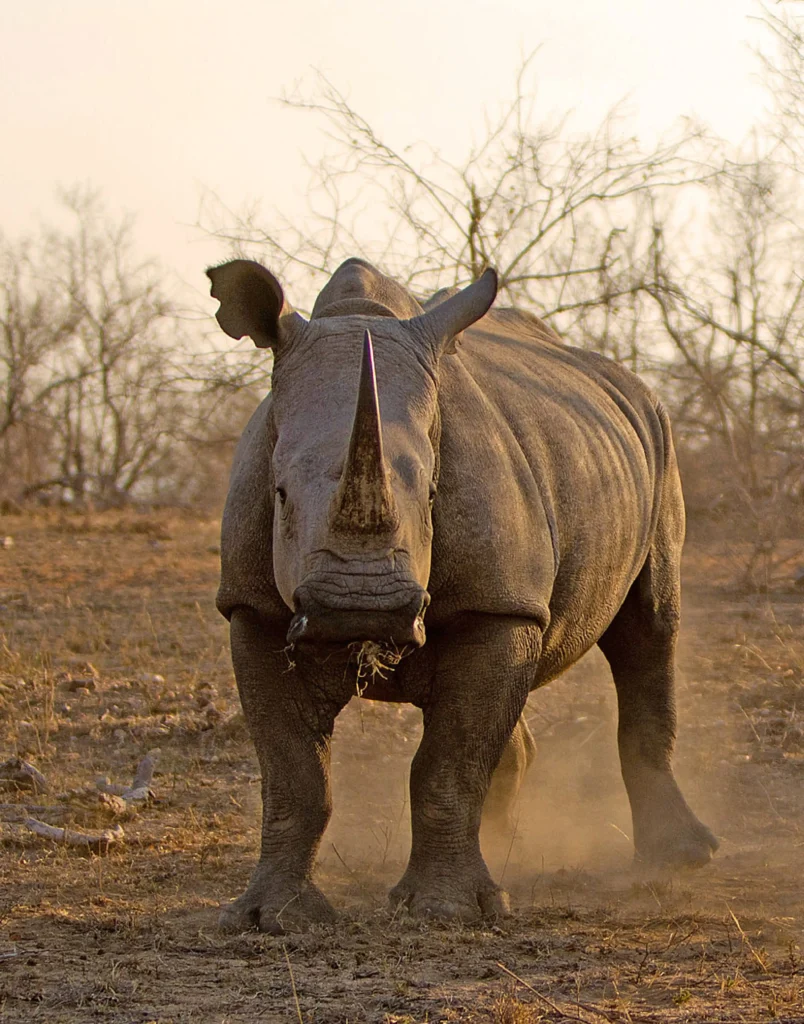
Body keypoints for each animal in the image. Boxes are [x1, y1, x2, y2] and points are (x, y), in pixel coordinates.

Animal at [207, 257, 717, 933]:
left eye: (431, 495)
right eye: (281, 494)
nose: (359, 607)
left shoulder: (496, 605)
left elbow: (449, 764)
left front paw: (444, 911)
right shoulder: (254, 609)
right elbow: (294, 773)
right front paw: (272, 917)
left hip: (657, 437)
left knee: (649, 629)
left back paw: (678, 860)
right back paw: (509, 848)